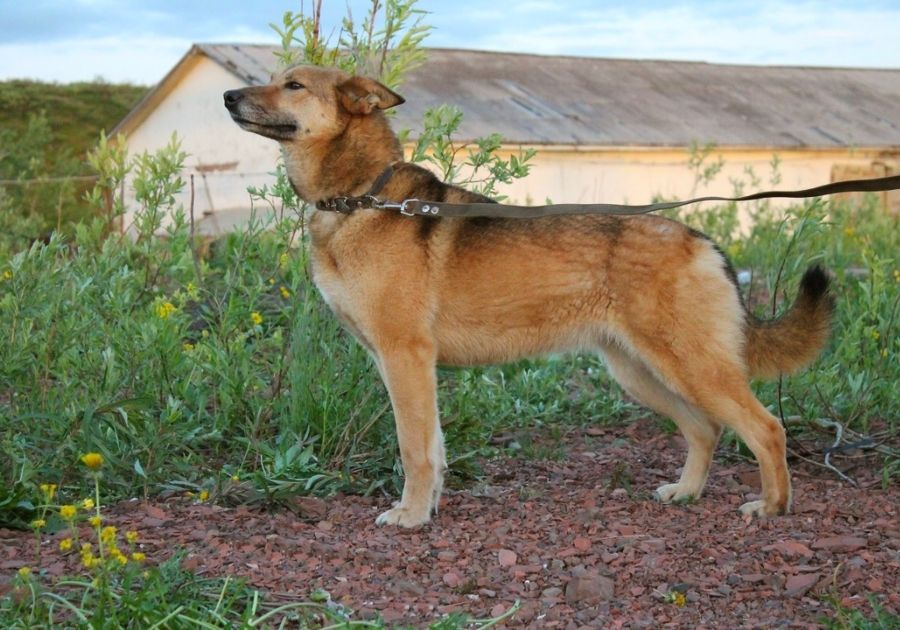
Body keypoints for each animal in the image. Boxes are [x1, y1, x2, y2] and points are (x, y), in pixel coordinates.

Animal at [221, 64, 832, 528]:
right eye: (275, 79)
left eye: (293, 85)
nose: (227, 95)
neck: (362, 197)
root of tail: (702, 241)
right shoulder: (407, 366)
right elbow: (434, 449)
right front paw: (430, 508)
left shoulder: (405, 359)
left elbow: (414, 450)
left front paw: (411, 516)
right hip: (640, 372)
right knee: (705, 428)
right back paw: (686, 493)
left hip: (693, 368)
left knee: (766, 428)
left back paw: (773, 506)